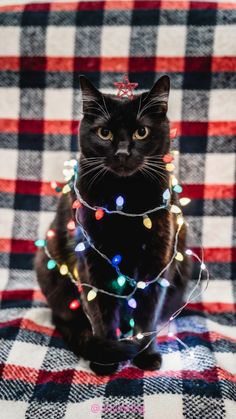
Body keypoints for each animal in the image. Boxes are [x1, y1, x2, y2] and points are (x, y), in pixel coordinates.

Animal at [35, 75, 188, 378]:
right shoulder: (93, 262)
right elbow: (101, 312)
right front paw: (106, 359)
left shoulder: (157, 261)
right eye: (104, 133)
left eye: (141, 132)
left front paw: (146, 355)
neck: (124, 201)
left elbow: (147, 314)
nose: (122, 152)